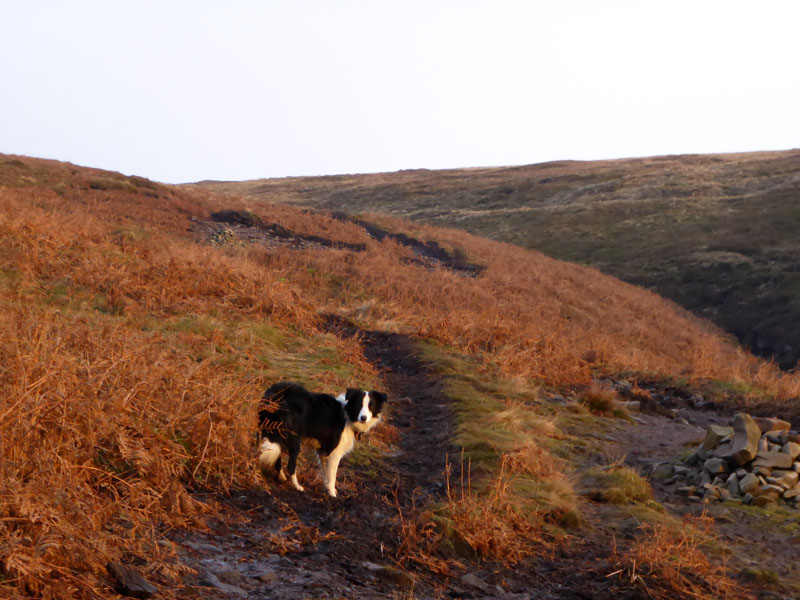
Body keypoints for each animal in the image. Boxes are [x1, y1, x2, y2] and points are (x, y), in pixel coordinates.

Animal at [258, 384, 386, 496]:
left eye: (371, 406)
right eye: (359, 405)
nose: (363, 418)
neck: (348, 415)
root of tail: (277, 395)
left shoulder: (324, 452)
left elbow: (326, 473)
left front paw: (327, 488)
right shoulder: (334, 452)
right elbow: (332, 475)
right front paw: (332, 493)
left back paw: (280, 477)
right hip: (294, 439)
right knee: (291, 466)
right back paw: (297, 486)